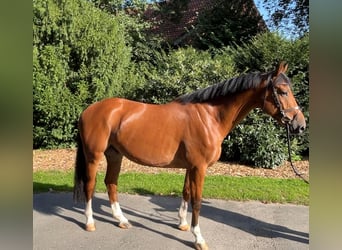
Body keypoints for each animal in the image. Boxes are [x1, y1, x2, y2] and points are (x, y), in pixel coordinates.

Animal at [73, 61, 306, 249]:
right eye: (282, 91)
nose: (300, 125)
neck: (210, 117)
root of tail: (87, 110)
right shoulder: (199, 168)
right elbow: (197, 201)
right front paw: (199, 239)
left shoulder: (190, 167)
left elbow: (185, 193)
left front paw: (183, 224)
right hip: (94, 156)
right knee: (90, 185)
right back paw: (90, 222)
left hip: (115, 155)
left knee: (111, 183)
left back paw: (121, 220)